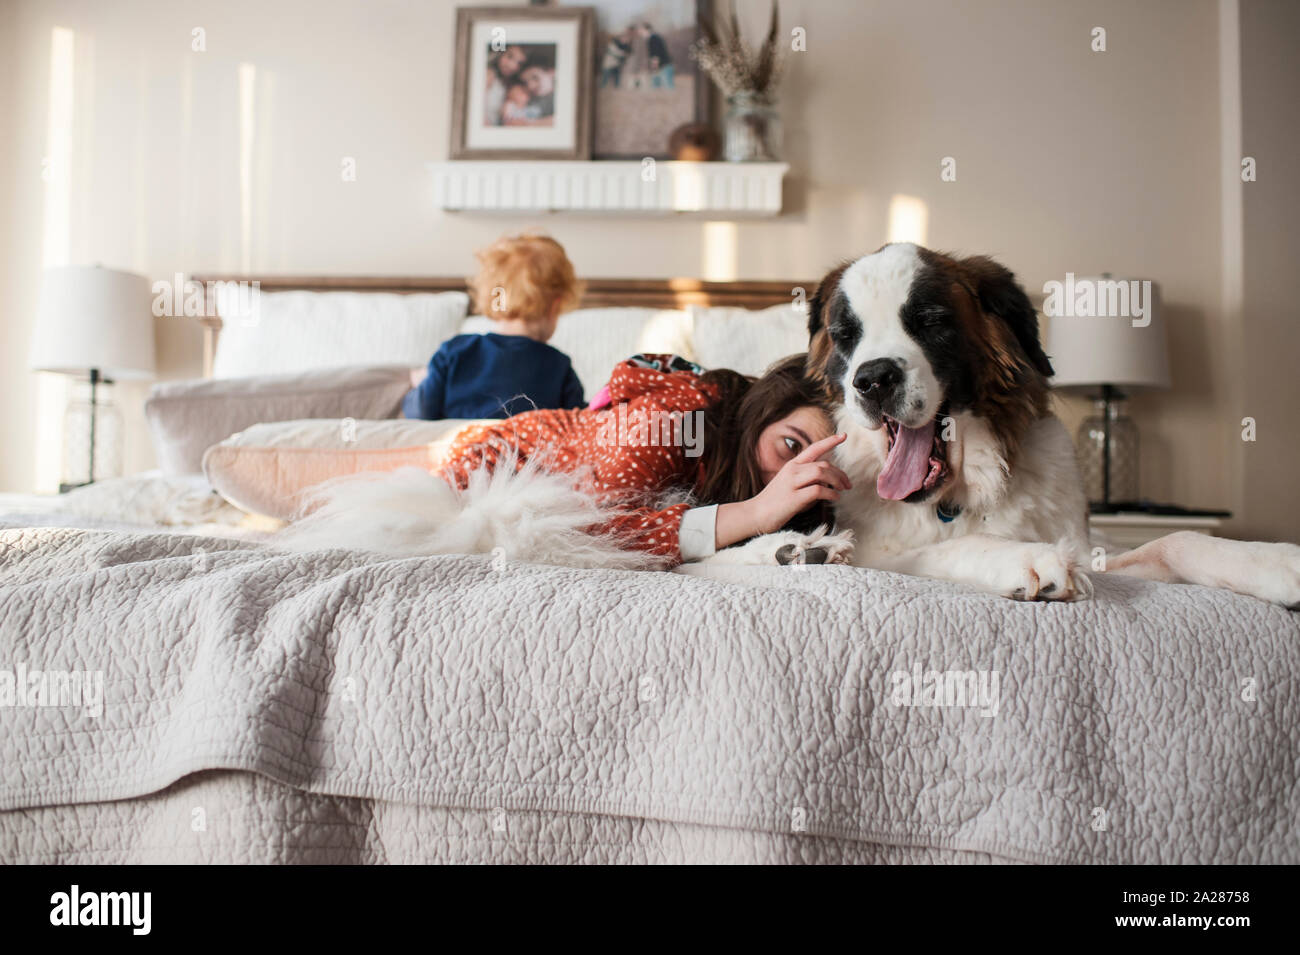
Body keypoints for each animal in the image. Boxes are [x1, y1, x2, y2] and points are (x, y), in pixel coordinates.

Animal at [712, 242, 1300, 608]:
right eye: (845, 335)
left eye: (930, 322)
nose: (873, 379)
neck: (962, 489)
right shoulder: (885, 553)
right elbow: (958, 545)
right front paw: (1029, 558)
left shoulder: (1099, 549)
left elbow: (1177, 539)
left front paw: (1275, 562)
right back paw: (795, 549)